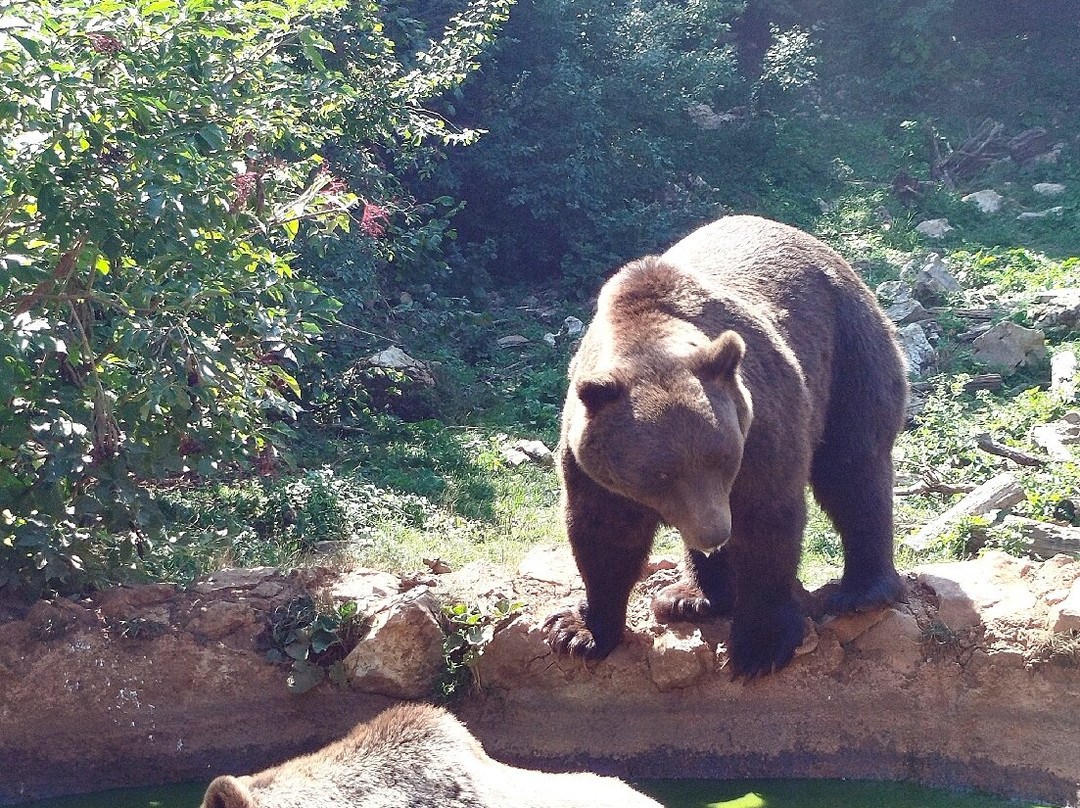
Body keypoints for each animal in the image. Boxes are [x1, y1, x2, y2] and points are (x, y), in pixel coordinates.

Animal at [543, 214, 908, 678]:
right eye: (659, 474)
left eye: (723, 457)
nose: (715, 531)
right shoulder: (592, 461)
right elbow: (604, 533)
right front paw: (579, 632)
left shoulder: (762, 427)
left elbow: (765, 520)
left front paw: (760, 646)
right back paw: (691, 597)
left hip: (849, 350)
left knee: (854, 468)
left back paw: (863, 590)